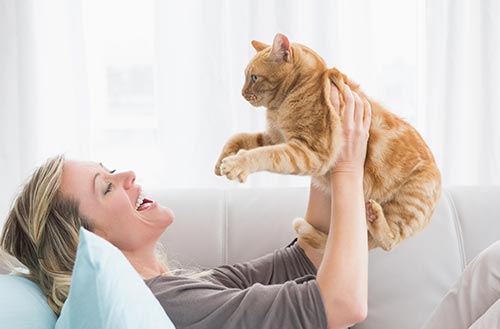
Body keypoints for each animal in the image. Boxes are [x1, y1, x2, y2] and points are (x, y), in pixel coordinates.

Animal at [215, 33, 442, 250]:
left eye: (254, 77)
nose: (242, 94)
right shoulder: (275, 138)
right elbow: (240, 138)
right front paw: (221, 160)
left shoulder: (310, 152)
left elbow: (264, 154)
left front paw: (236, 163)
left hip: (408, 204)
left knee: (389, 242)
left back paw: (375, 215)